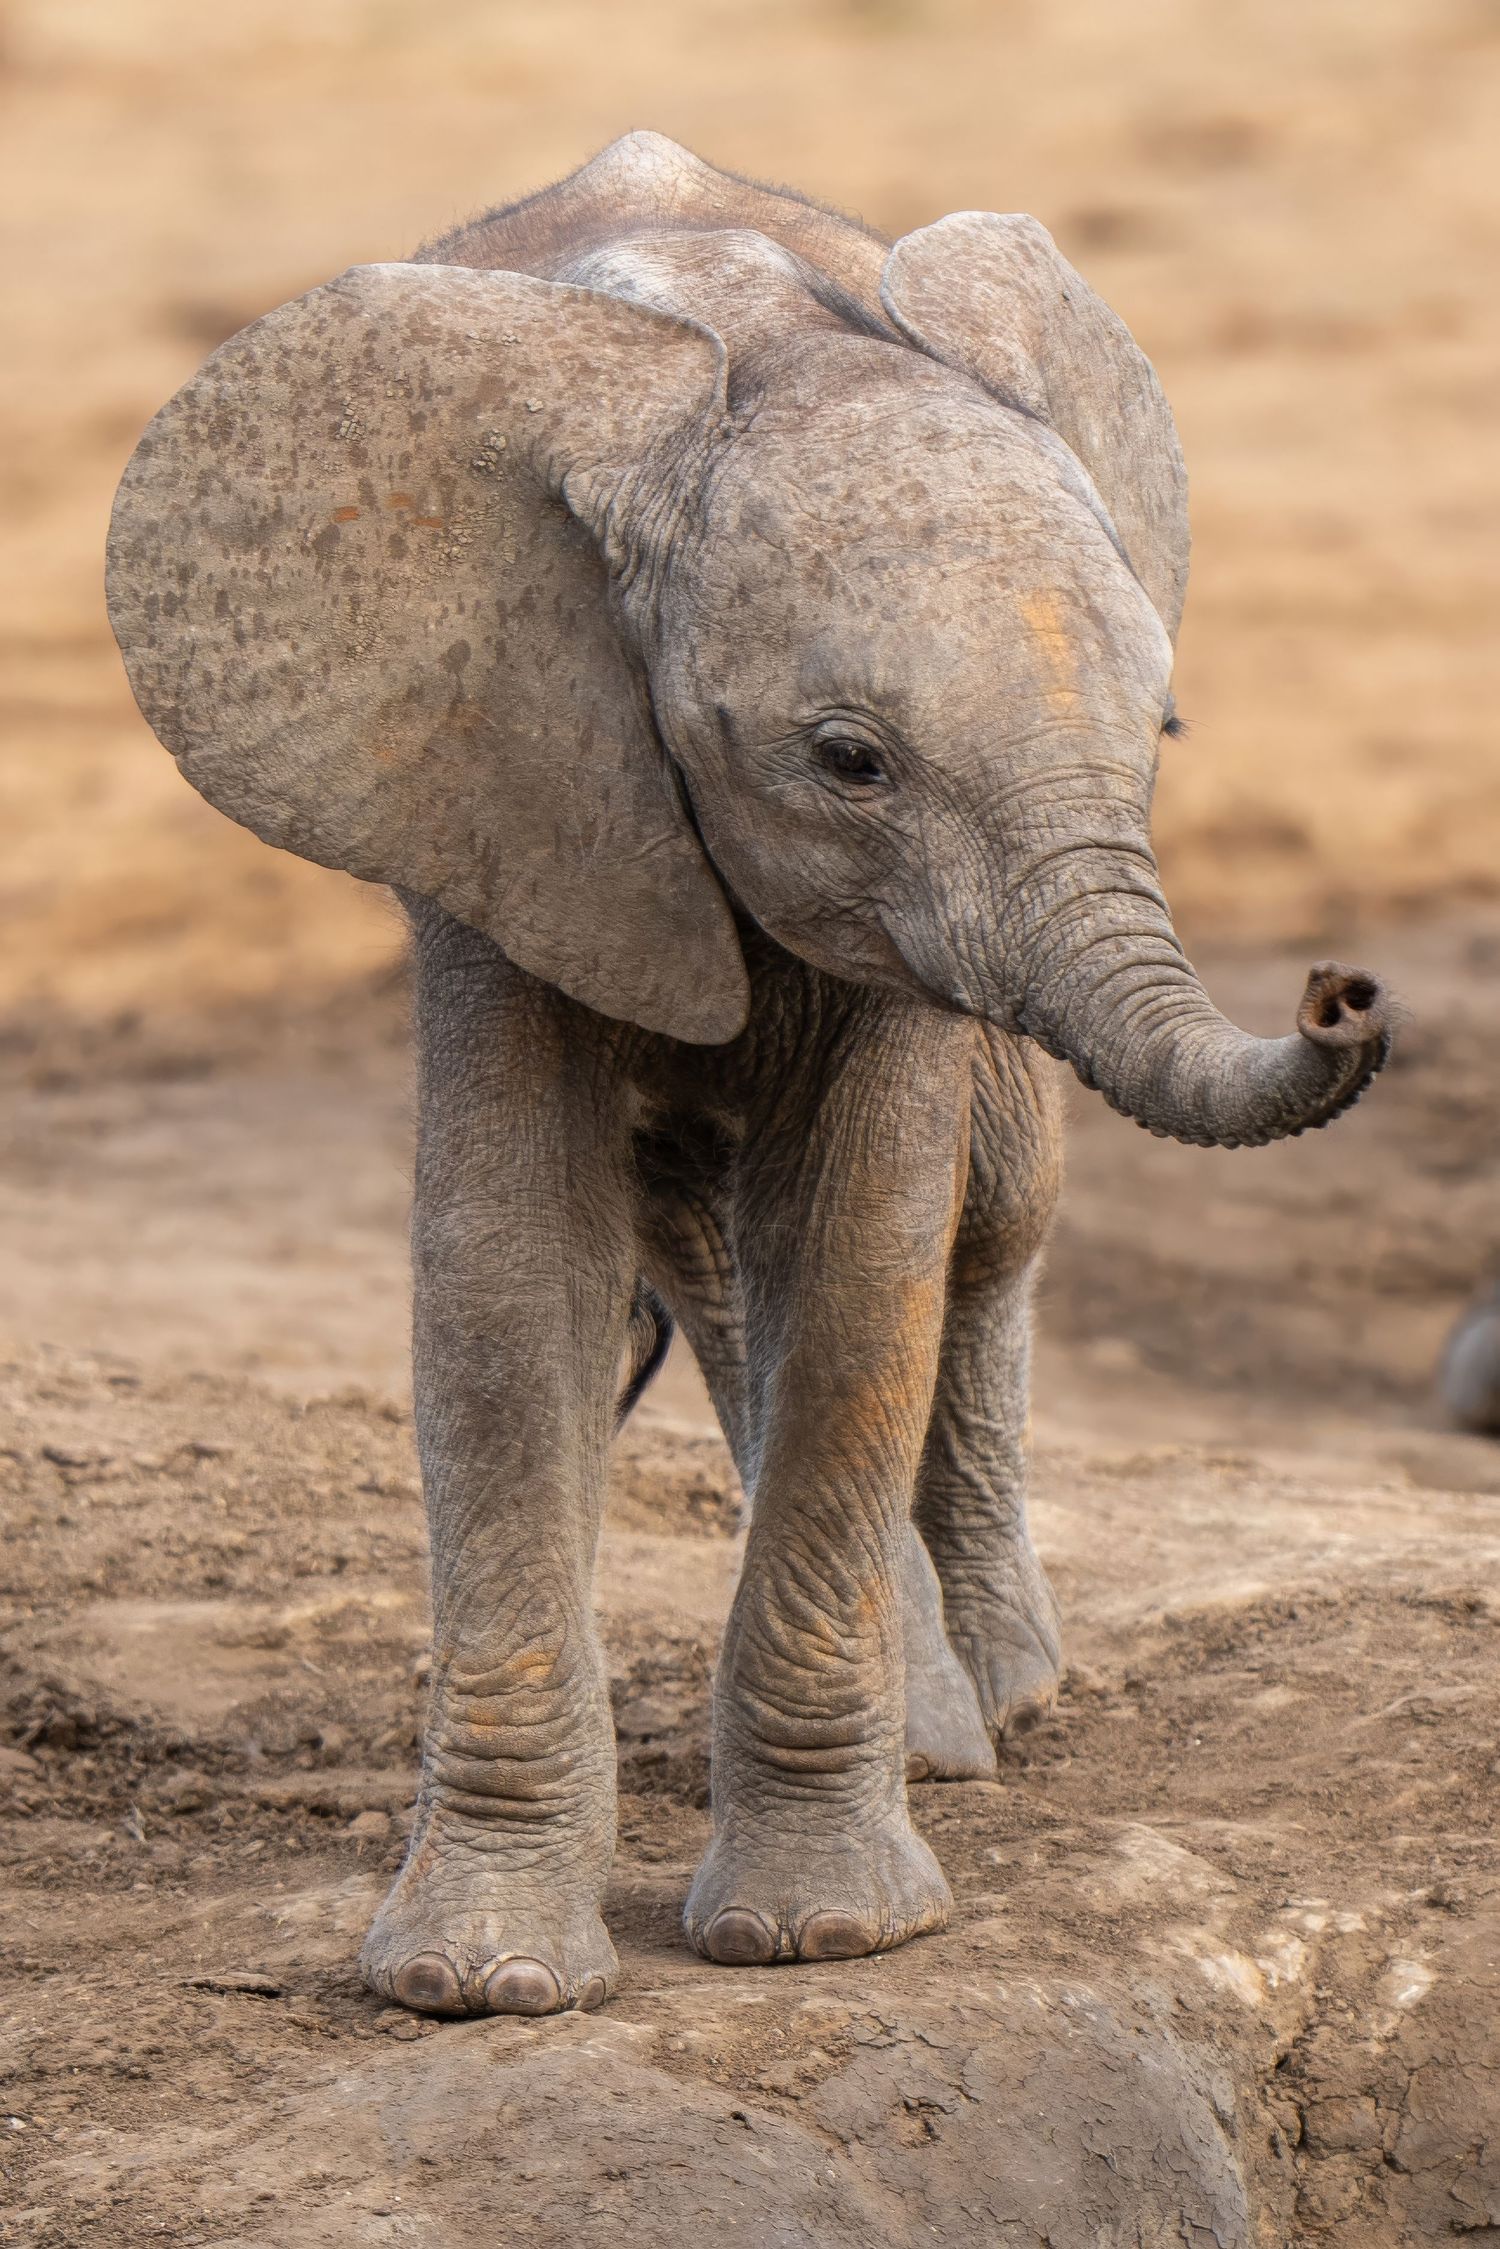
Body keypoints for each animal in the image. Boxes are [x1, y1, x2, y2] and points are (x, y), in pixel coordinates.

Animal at [106, 132, 1392, 2017]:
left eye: (1159, 734)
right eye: (849, 761)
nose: (1346, 993)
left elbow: (868, 1263)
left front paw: (820, 1938)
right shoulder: (499, 773)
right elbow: (503, 1278)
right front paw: (479, 1982)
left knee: (989, 1226)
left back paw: (989, 1711)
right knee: (706, 1243)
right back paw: (933, 1717)